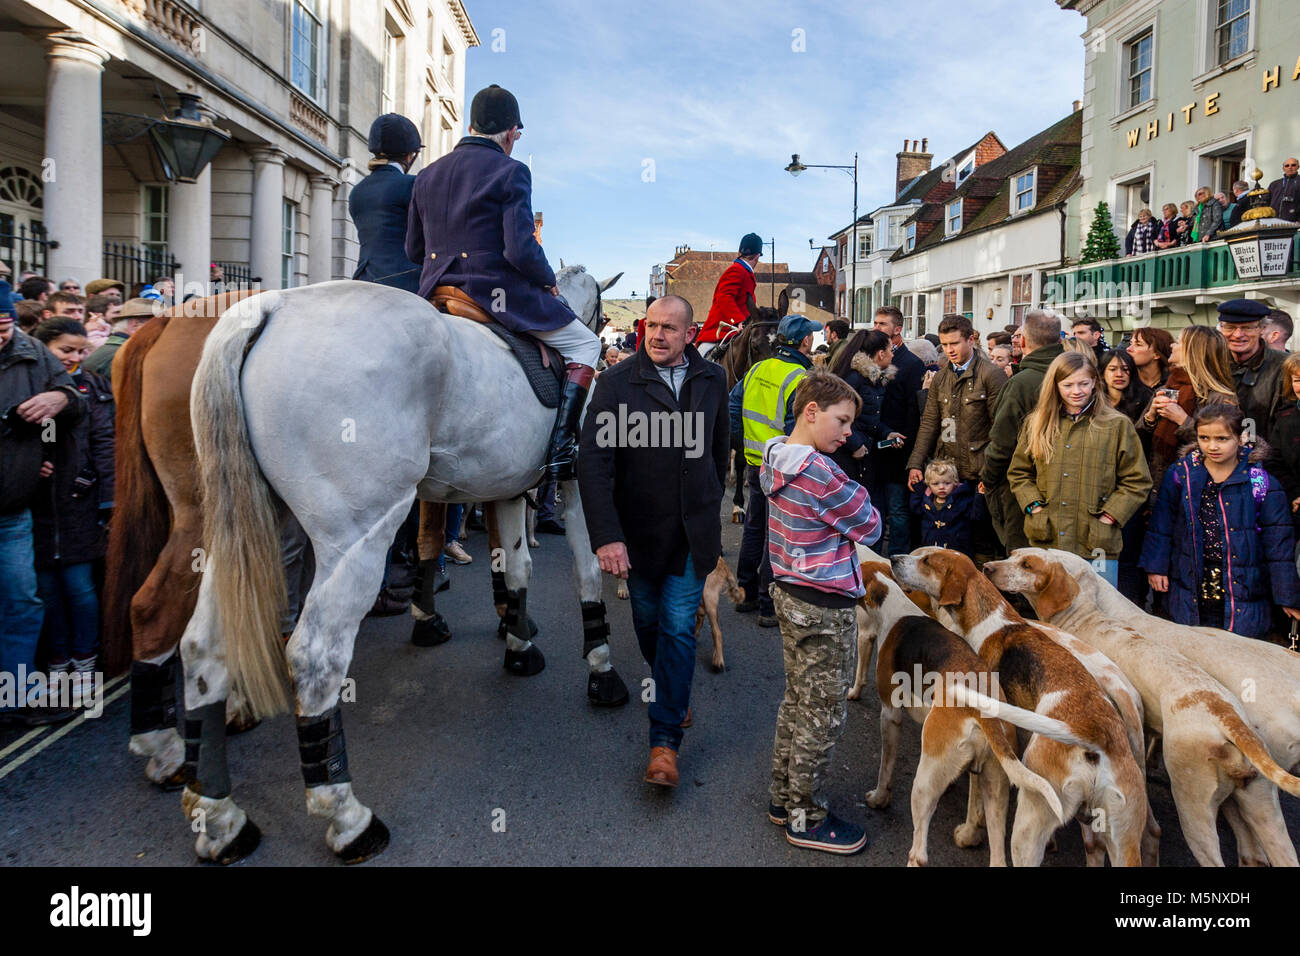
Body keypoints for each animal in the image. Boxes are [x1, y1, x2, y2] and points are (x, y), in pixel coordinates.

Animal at [179, 265, 624, 863]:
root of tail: (270, 306)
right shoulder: (576, 484)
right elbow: (588, 570)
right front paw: (601, 668)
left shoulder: (507, 490)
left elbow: (518, 571)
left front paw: (519, 645)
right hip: (360, 534)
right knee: (315, 656)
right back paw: (347, 817)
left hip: (251, 528)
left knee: (203, 647)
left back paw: (219, 815)